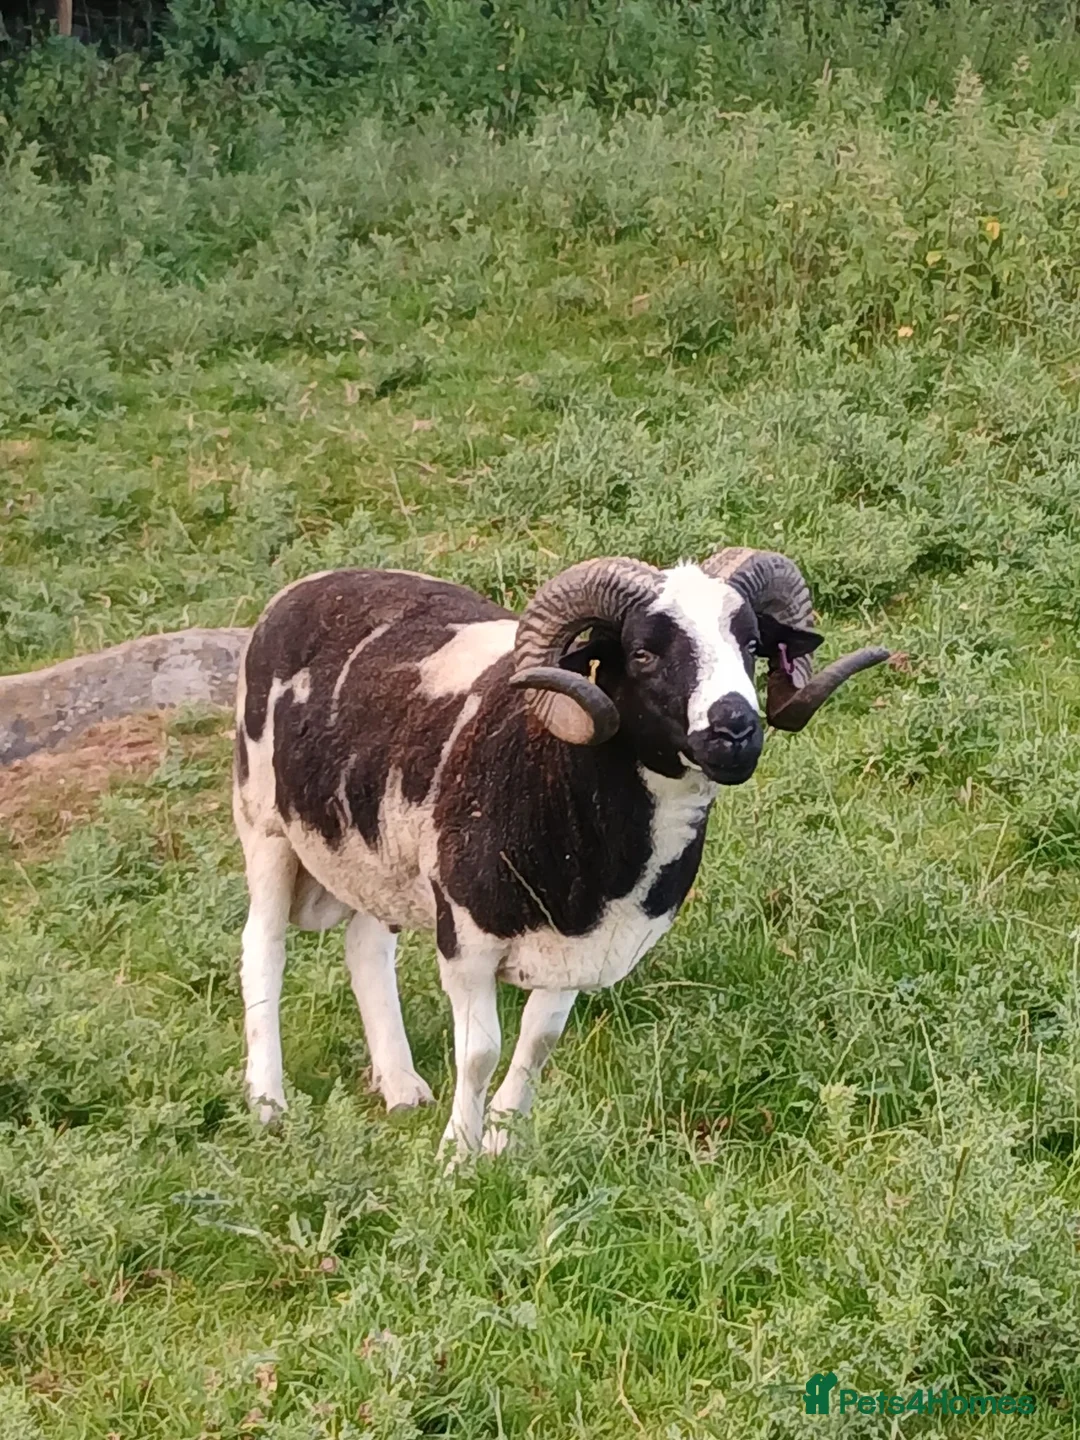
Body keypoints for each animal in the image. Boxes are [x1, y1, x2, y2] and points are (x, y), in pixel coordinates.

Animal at [233, 548, 889, 1158]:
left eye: (751, 643)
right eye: (643, 654)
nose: (736, 730)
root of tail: (311, 584)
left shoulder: (581, 947)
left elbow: (535, 1045)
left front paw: (502, 1144)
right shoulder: (467, 938)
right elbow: (480, 1052)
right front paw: (457, 1157)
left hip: (375, 859)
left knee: (366, 946)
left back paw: (401, 1087)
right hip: (264, 824)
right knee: (263, 948)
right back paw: (268, 1104)